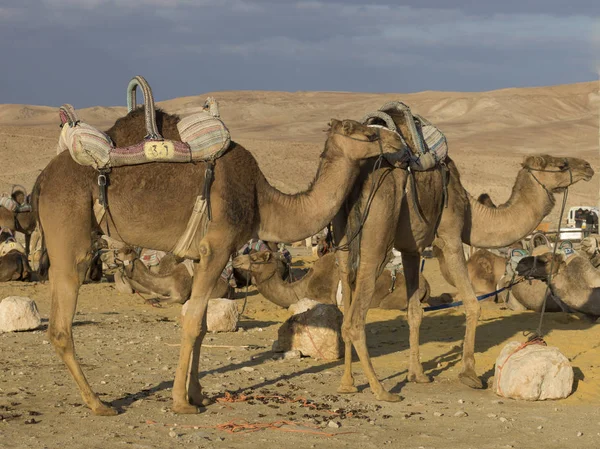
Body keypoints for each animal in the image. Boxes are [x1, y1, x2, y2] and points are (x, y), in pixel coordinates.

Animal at [34, 107, 408, 414]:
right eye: (369, 134)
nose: (399, 142)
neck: (262, 201)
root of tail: (42, 179)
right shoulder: (217, 245)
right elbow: (191, 323)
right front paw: (181, 402)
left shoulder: (206, 256)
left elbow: (200, 326)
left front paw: (198, 394)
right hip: (70, 236)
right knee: (61, 326)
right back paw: (99, 404)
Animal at [336, 120, 592, 406]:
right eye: (561, 165)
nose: (587, 166)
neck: (472, 212)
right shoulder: (450, 236)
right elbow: (472, 304)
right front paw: (469, 374)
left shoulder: (412, 248)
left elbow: (414, 312)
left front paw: (418, 375)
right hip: (376, 238)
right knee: (355, 318)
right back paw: (381, 390)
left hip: (344, 241)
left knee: (345, 299)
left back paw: (347, 384)